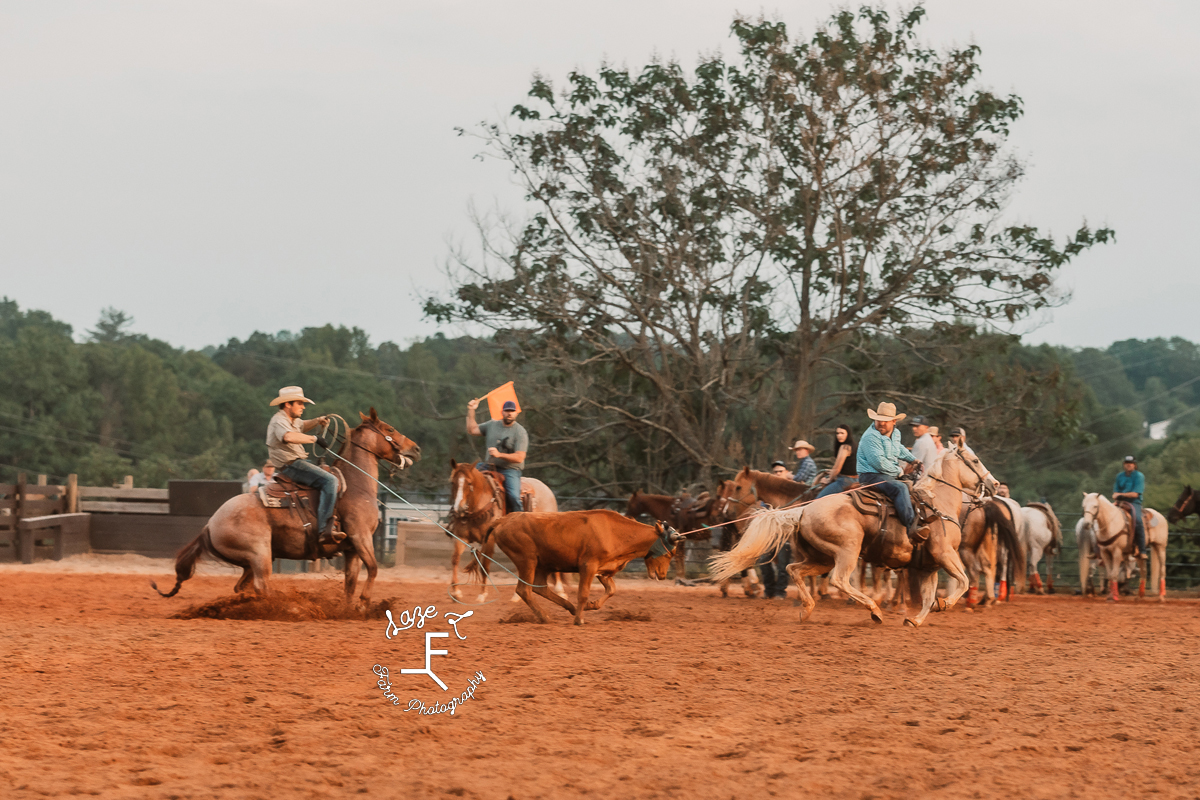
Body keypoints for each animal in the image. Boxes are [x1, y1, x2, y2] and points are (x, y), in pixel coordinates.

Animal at [153, 410, 422, 604]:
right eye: (389, 429)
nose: (416, 449)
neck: (355, 485)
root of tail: (209, 525)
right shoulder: (361, 536)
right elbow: (374, 569)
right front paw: (364, 603)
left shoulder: (351, 549)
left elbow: (350, 583)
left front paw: (349, 610)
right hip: (259, 553)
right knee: (261, 586)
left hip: (251, 560)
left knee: (243, 587)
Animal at [448, 455, 559, 599]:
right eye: (452, 482)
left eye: (469, 483)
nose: (459, 508)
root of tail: (547, 490)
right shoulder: (461, 537)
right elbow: (455, 559)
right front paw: (456, 592)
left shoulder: (489, 540)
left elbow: (484, 564)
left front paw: (482, 594)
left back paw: (560, 590)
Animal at [468, 513, 686, 623]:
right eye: (669, 553)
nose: (663, 575)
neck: (615, 531)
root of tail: (503, 519)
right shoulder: (588, 566)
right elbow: (583, 592)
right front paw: (580, 618)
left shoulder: (603, 570)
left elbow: (611, 590)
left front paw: (590, 606)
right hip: (527, 560)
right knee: (524, 590)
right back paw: (545, 616)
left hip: (543, 563)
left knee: (540, 587)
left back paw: (569, 608)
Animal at [710, 450, 993, 623]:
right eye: (976, 460)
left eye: (737, 487)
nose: (993, 484)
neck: (938, 506)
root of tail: (804, 510)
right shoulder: (945, 555)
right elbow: (962, 581)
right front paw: (943, 604)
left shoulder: (929, 566)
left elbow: (928, 596)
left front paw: (916, 619)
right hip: (847, 550)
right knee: (839, 579)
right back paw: (874, 609)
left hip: (824, 557)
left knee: (795, 569)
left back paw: (809, 608)